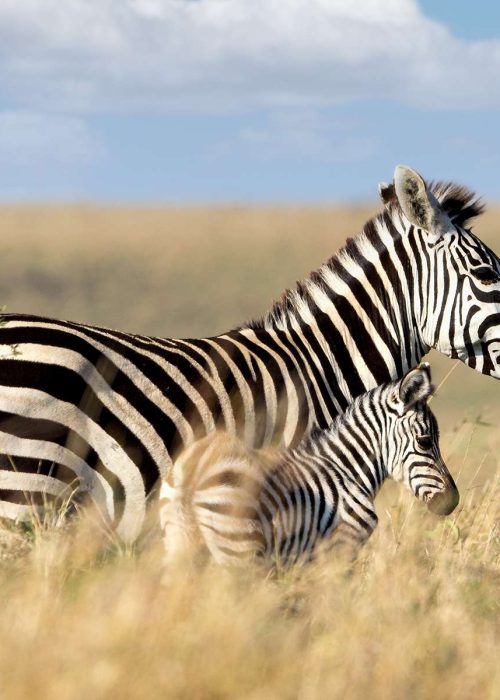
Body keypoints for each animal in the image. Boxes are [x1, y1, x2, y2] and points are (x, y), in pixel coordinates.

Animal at [160, 364, 458, 566]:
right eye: (424, 442)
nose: (452, 501)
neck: (347, 469)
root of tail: (194, 466)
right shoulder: (341, 546)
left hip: (181, 544)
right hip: (239, 548)